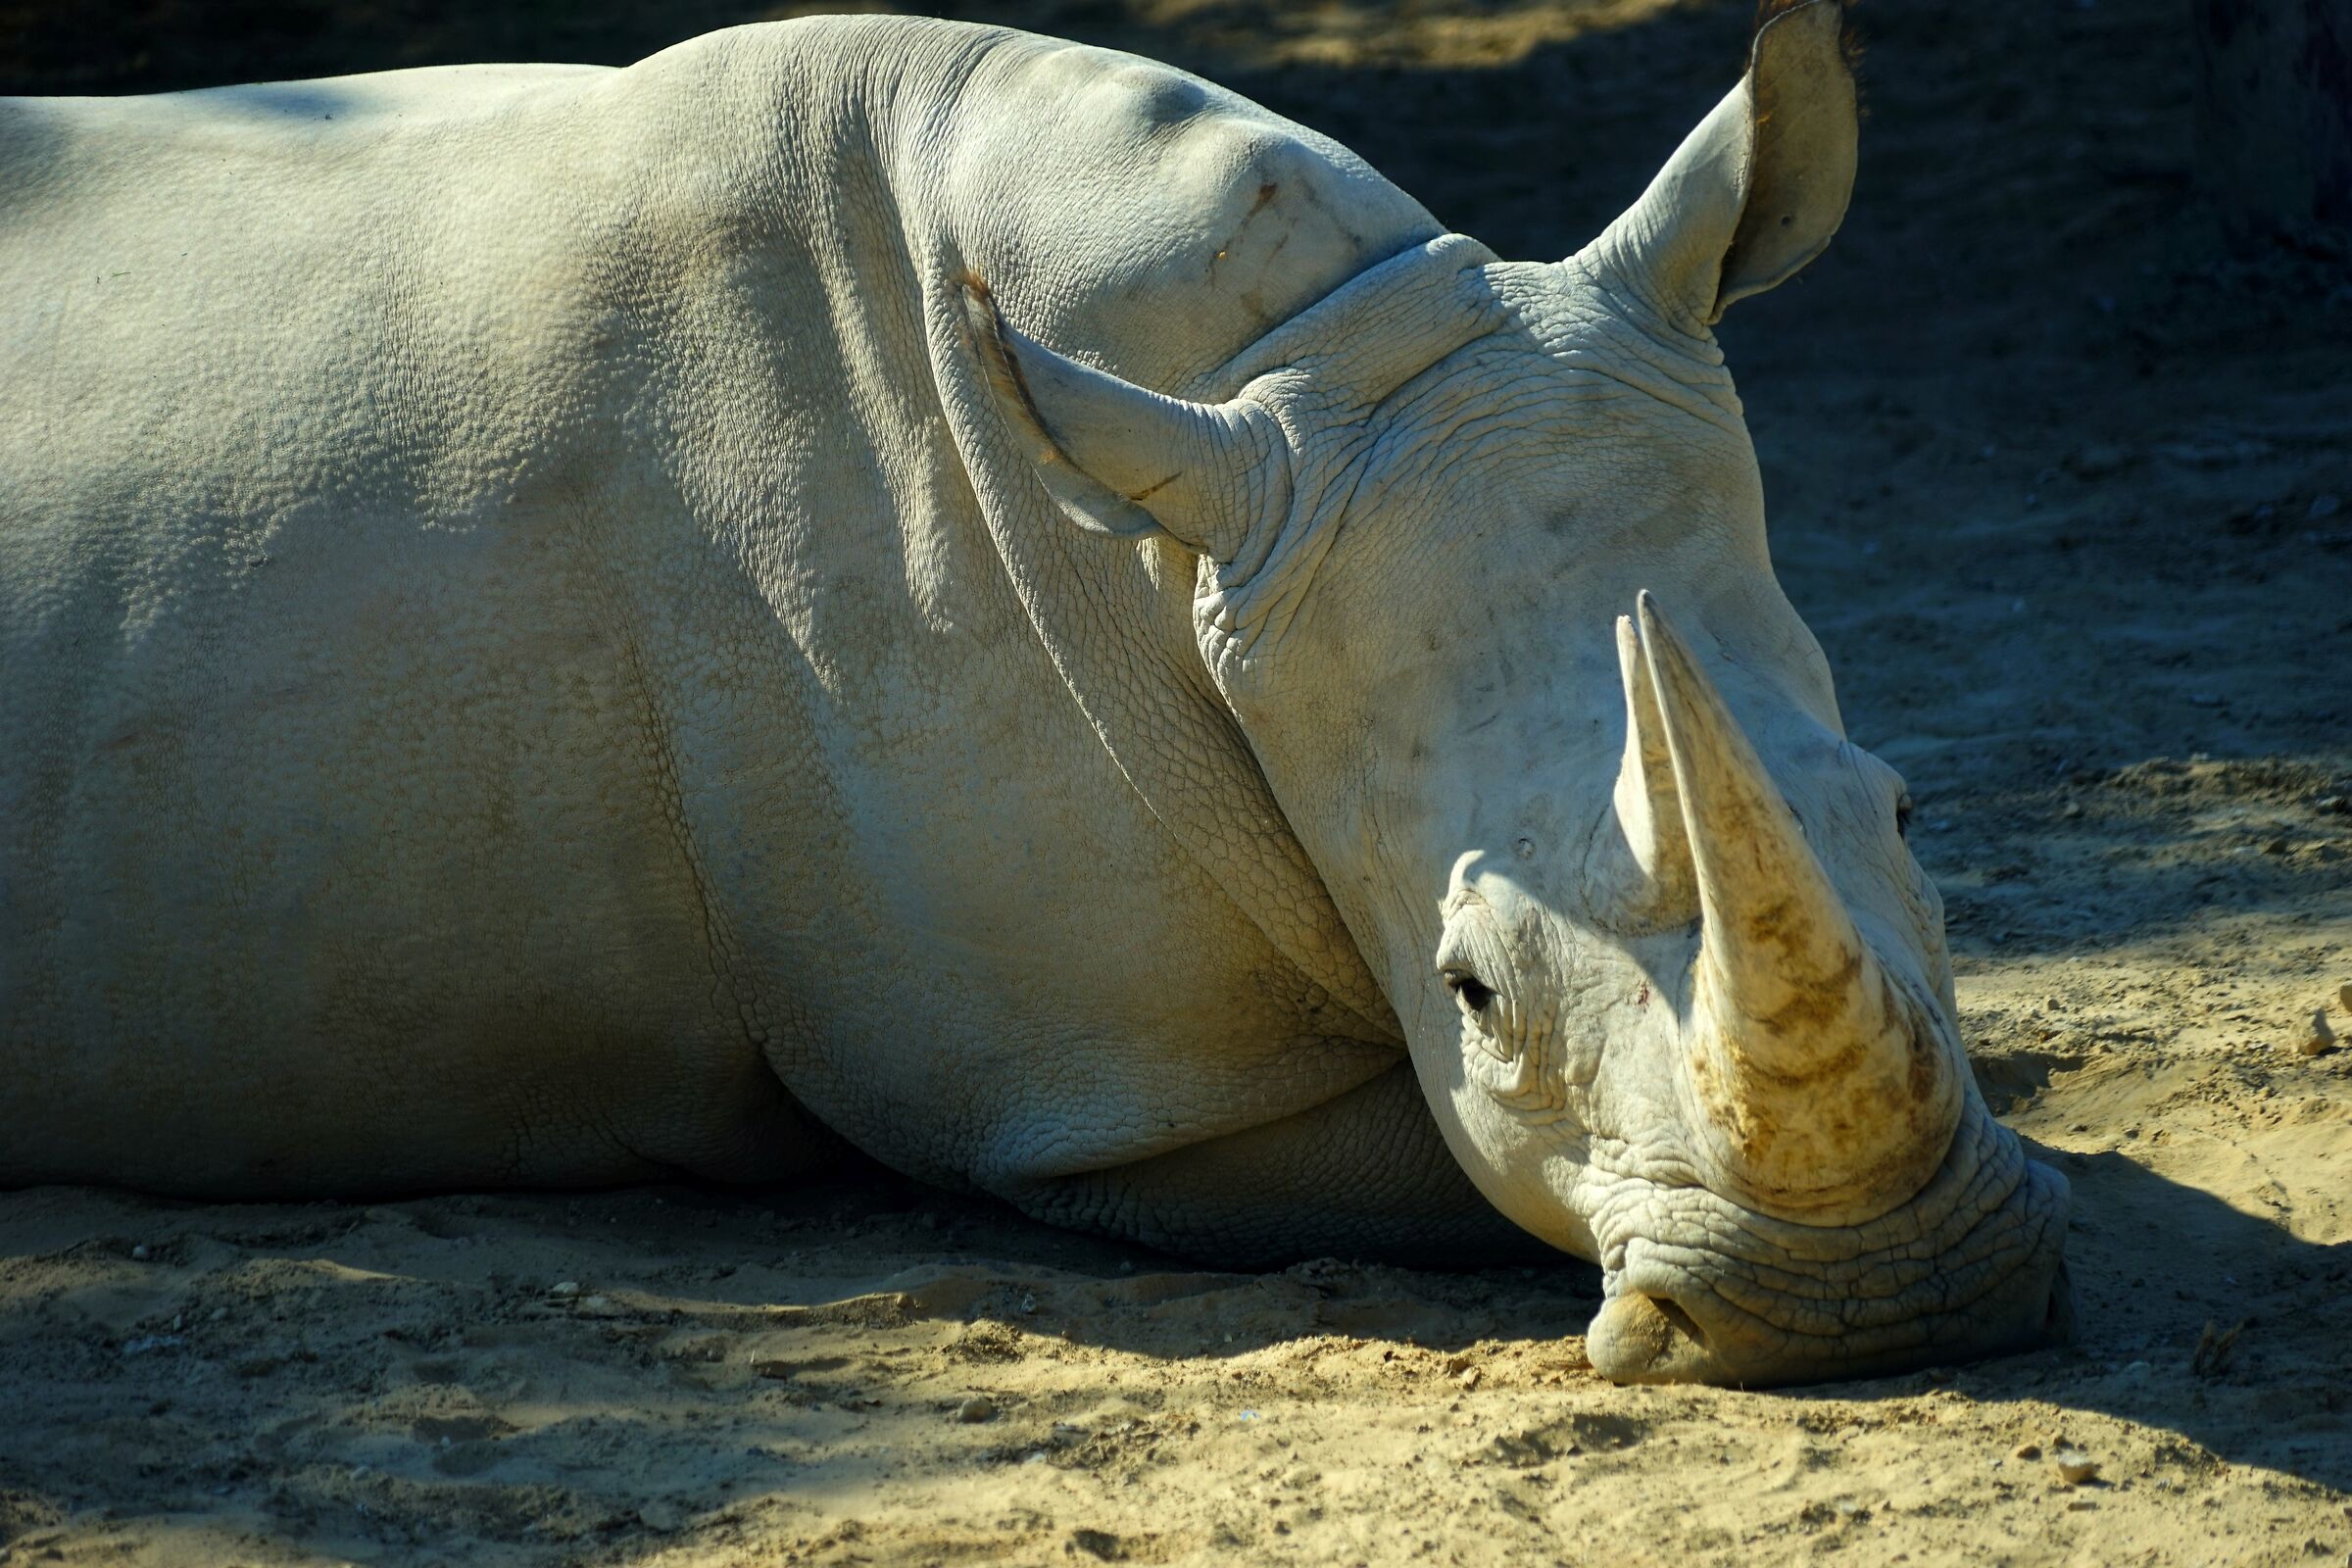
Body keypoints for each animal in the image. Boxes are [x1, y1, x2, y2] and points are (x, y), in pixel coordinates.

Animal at [0, 0, 2070, 1385]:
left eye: (1902, 810)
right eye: (1472, 989)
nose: (1888, 1300)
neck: (1279, 374)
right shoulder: (1102, 1098)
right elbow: (1452, 1167)